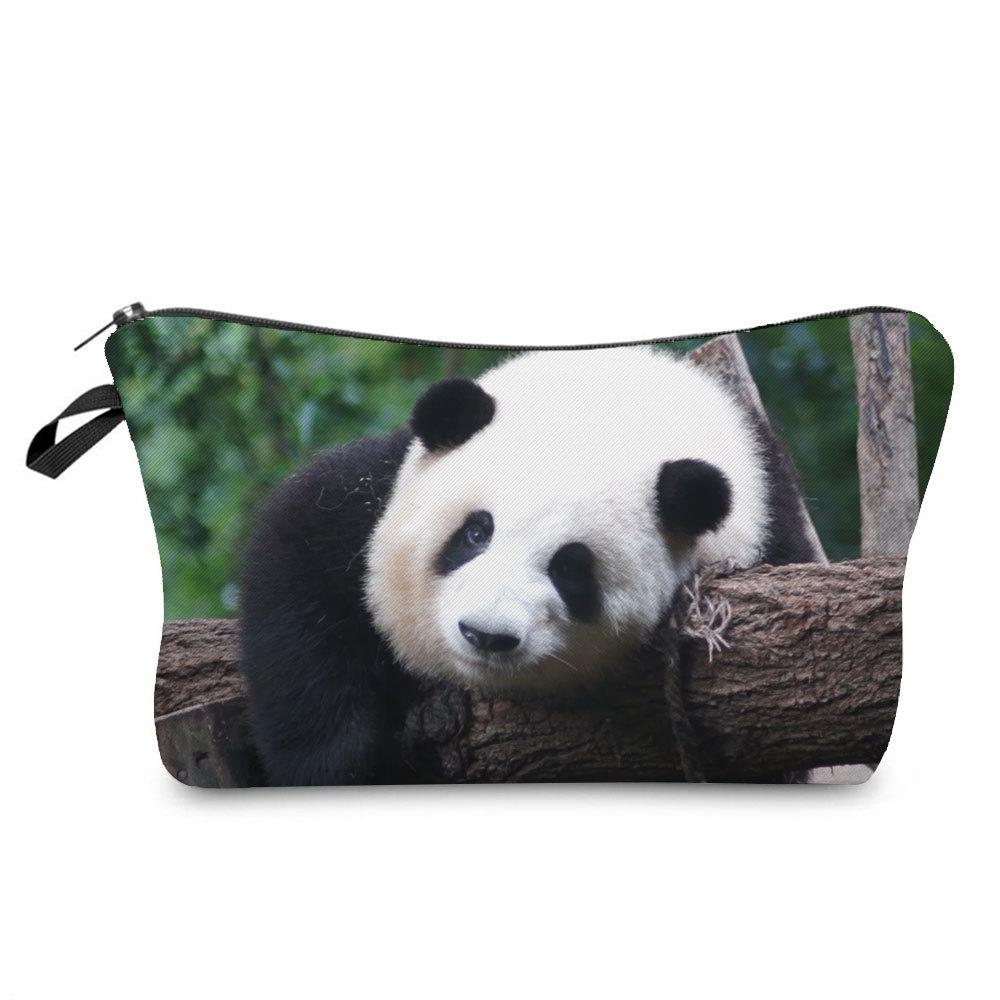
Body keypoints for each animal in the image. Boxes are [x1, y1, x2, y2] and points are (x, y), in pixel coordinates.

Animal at [239, 346, 815, 785]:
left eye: (571, 570)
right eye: (476, 532)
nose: (484, 634)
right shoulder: (371, 493)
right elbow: (297, 569)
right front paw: (341, 764)